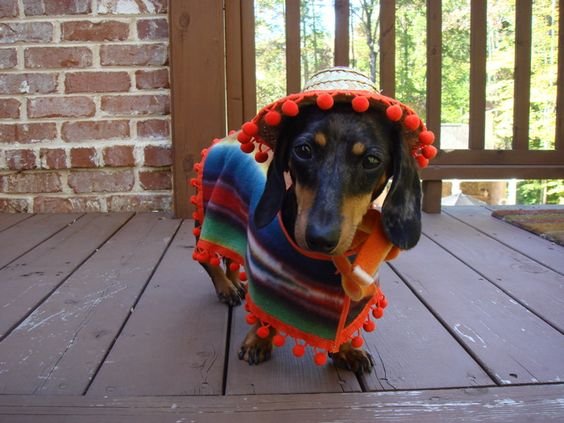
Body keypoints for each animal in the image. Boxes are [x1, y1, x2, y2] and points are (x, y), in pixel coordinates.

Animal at [196, 102, 420, 374]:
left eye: (371, 160)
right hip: (206, 214)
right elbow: (264, 312)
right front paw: (259, 338)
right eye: (303, 150)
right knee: (206, 259)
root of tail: (229, 135)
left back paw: (234, 283)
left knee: (231, 258)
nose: (320, 239)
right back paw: (225, 286)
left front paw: (347, 349)